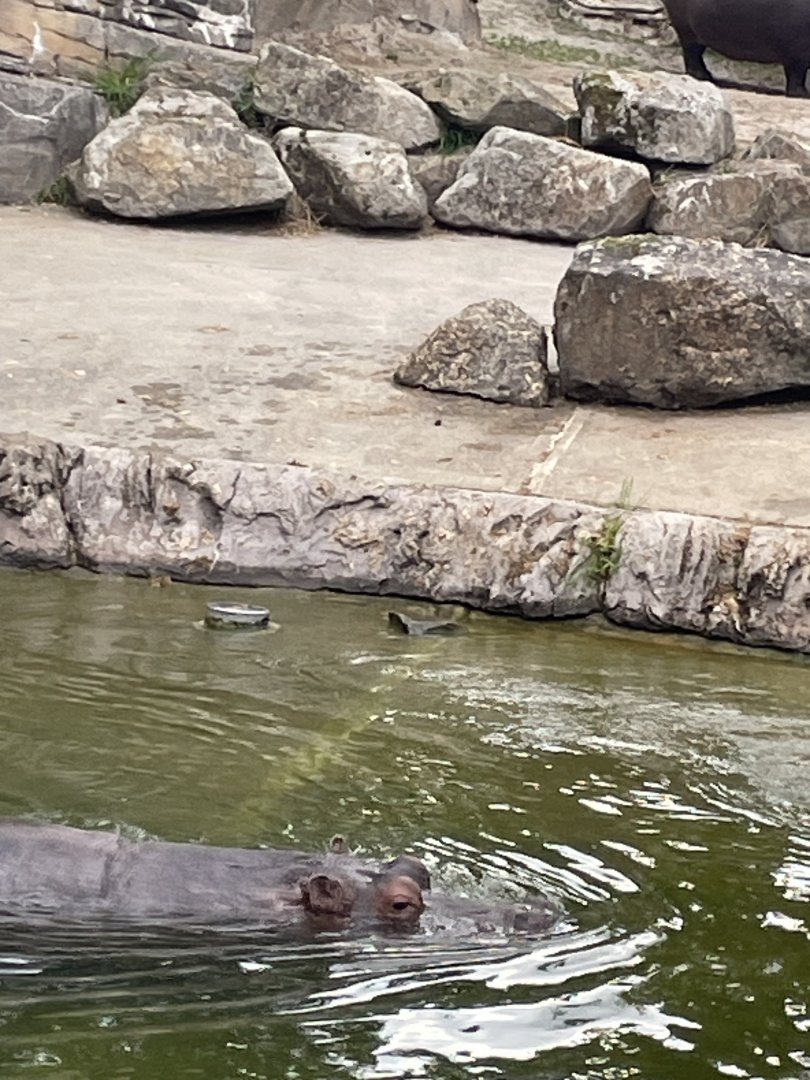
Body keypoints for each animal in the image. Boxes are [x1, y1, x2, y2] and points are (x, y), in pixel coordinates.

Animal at [662, 0, 810, 96]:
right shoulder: (796, 53)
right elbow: (796, 74)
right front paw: (803, 94)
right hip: (687, 30)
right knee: (691, 54)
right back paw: (704, 77)